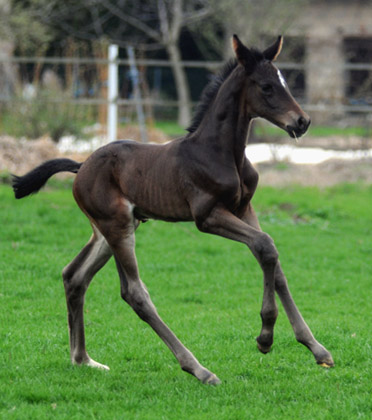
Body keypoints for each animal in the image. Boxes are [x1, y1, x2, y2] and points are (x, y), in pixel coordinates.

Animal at [13, 36, 334, 384]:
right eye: (266, 87)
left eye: (284, 82)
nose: (302, 122)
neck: (220, 152)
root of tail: (81, 165)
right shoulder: (207, 216)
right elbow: (266, 246)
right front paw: (265, 337)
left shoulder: (244, 208)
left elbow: (274, 263)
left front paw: (316, 348)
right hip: (117, 225)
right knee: (134, 293)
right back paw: (199, 369)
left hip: (110, 229)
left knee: (74, 276)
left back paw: (83, 360)